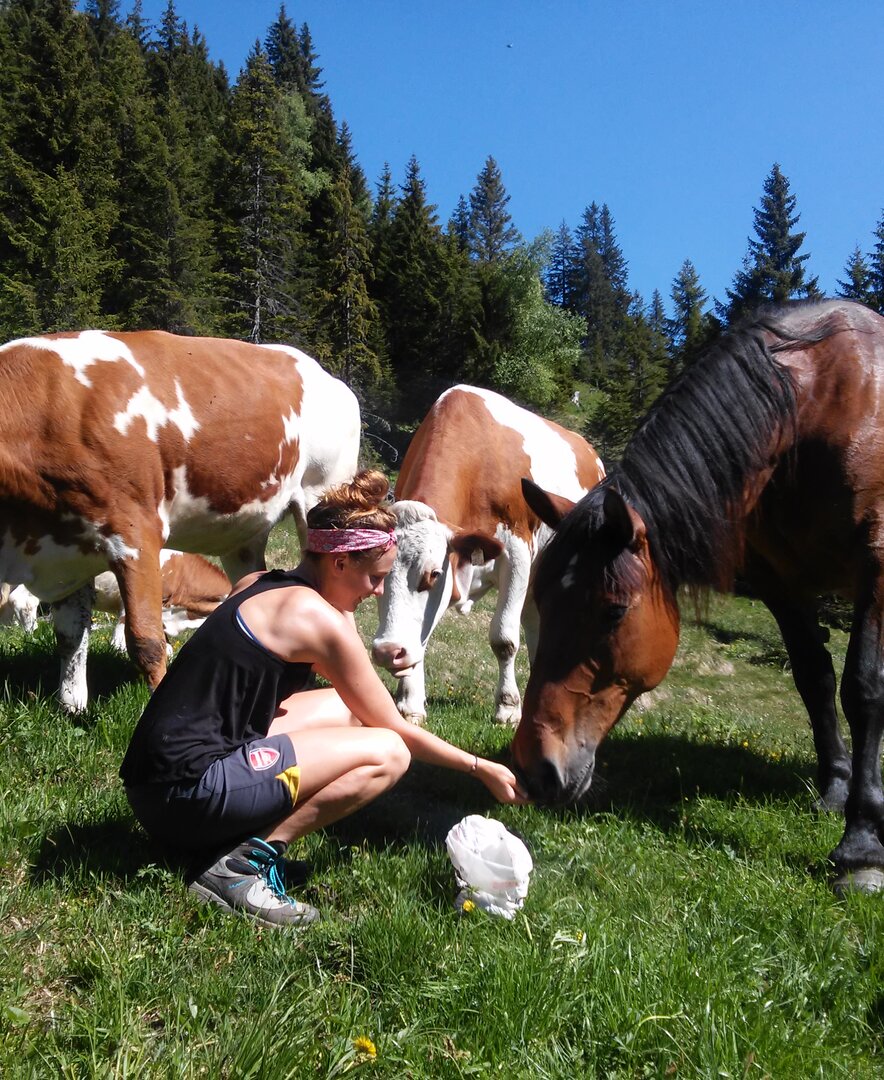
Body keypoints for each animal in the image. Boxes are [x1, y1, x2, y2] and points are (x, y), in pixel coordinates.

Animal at [0, 332, 360, 712]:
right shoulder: (68, 549)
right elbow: (70, 635)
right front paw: (72, 707)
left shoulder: (135, 533)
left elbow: (145, 640)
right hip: (244, 538)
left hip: (320, 496)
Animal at [369, 386, 604, 725]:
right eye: (376, 576)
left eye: (434, 574)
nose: (387, 651)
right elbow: (420, 636)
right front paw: (410, 703)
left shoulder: (517, 552)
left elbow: (504, 638)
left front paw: (507, 707)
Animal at [511, 300, 884, 889]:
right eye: (542, 605)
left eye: (613, 611)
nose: (534, 766)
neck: (816, 408)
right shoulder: (780, 583)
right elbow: (815, 679)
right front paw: (835, 788)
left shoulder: (876, 565)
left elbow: (865, 690)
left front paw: (862, 844)